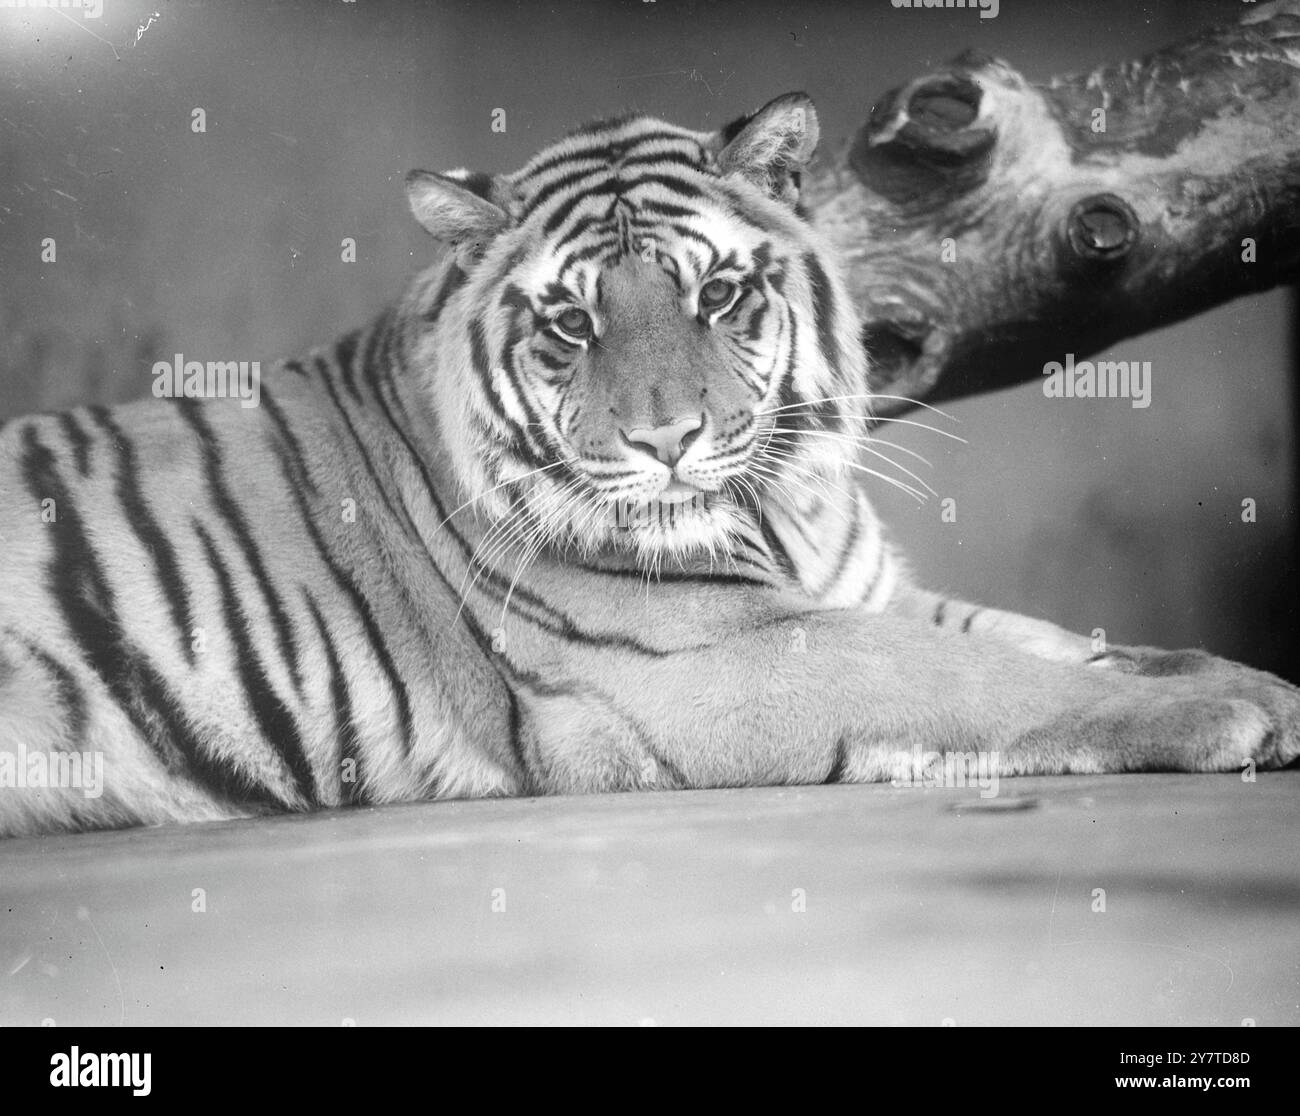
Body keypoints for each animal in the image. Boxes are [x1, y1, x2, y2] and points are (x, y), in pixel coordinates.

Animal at [1, 92, 1297, 838]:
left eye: (715, 294)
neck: (784, 510)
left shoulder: (858, 590)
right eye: (570, 324)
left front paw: (1253, 678)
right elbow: (991, 678)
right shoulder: (719, 659)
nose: (664, 440)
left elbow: (1046, 637)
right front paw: (1223, 709)